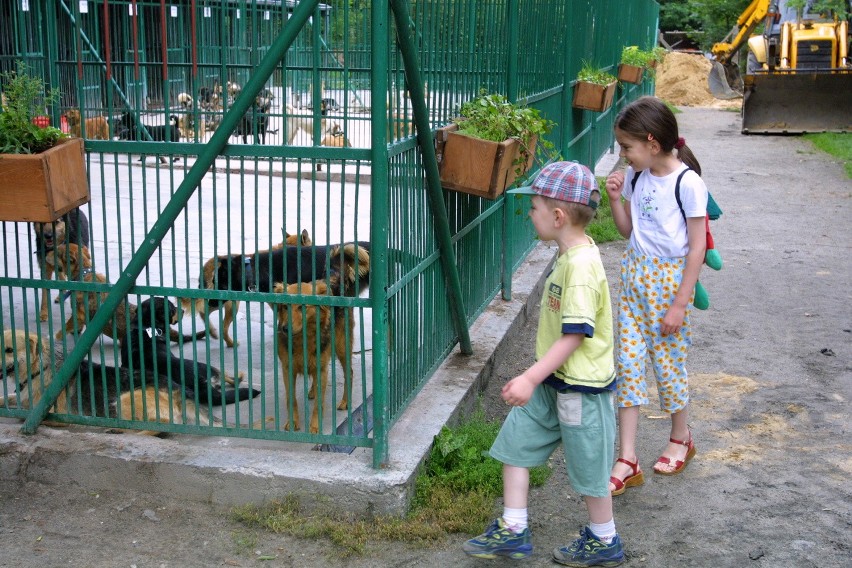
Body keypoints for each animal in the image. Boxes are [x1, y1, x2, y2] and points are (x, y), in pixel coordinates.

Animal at [120, 298, 258, 408]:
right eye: (172, 308)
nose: (182, 310)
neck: (144, 326)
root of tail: (199, 382)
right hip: (205, 365)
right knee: (228, 378)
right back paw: (236, 378)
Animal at [272, 242, 368, 432]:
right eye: (285, 306)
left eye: (302, 307)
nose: (285, 329)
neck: (302, 338)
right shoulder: (287, 368)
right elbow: (291, 399)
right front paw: (293, 423)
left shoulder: (322, 368)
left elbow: (319, 404)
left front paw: (315, 427)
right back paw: (311, 391)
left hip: (342, 346)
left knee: (349, 372)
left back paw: (345, 402)